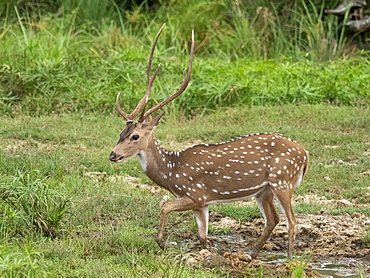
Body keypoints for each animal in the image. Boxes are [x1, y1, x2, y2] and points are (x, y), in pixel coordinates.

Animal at [109, 25, 310, 260]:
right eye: (121, 132)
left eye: (135, 136)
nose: (113, 155)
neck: (172, 171)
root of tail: (305, 154)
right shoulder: (202, 204)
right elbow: (202, 235)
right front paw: (205, 254)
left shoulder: (195, 194)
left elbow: (165, 206)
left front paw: (161, 242)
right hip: (264, 190)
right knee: (273, 219)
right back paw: (250, 254)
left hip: (283, 180)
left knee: (292, 219)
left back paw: (289, 258)